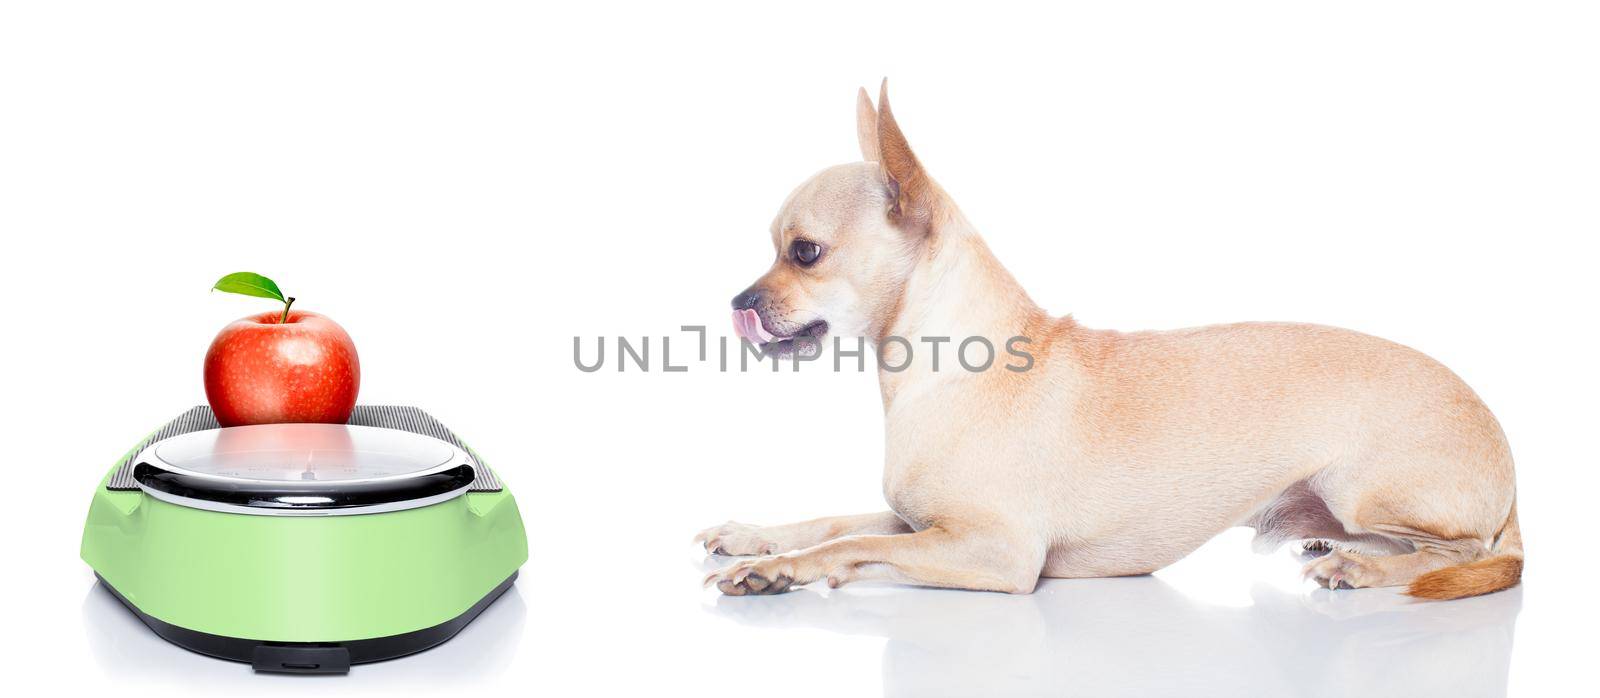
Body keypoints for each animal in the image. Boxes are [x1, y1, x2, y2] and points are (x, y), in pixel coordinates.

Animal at [700, 81, 1523, 598]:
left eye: (804, 252)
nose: (737, 303)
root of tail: (1508, 462)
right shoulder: (923, 525)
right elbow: (838, 523)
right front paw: (759, 543)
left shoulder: (995, 551)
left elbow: (856, 545)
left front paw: (797, 567)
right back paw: (1334, 548)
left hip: (1365, 489)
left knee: (1461, 554)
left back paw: (1360, 569)